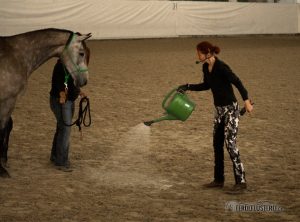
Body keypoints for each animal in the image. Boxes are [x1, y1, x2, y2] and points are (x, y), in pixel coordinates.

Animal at [0, 28, 91, 177]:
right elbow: (3, 129)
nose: (84, 81)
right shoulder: (8, 100)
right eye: (82, 53)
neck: (17, 55)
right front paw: (2, 169)